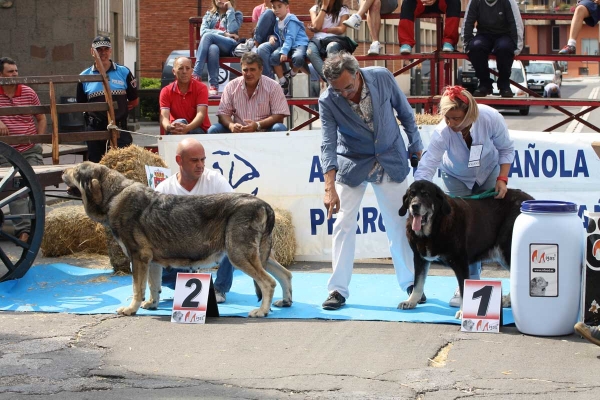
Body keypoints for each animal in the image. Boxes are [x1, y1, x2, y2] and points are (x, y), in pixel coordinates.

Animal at [62, 161, 292, 318]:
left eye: (76, 170)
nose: (63, 171)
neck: (114, 195)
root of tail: (264, 205)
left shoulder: (138, 257)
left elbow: (137, 288)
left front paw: (131, 309)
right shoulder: (151, 261)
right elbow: (152, 286)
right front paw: (152, 304)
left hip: (238, 255)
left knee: (268, 282)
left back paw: (261, 311)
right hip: (260, 255)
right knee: (285, 274)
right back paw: (286, 301)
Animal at [400, 180, 532, 318]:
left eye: (426, 194)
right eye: (411, 195)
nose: (414, 206)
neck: (434, 228)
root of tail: (529, 198)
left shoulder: (460, 262)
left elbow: (464, 289)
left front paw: (464, 311)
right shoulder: (419, 258)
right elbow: (418, 282)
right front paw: (411, 301)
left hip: (507, 251)